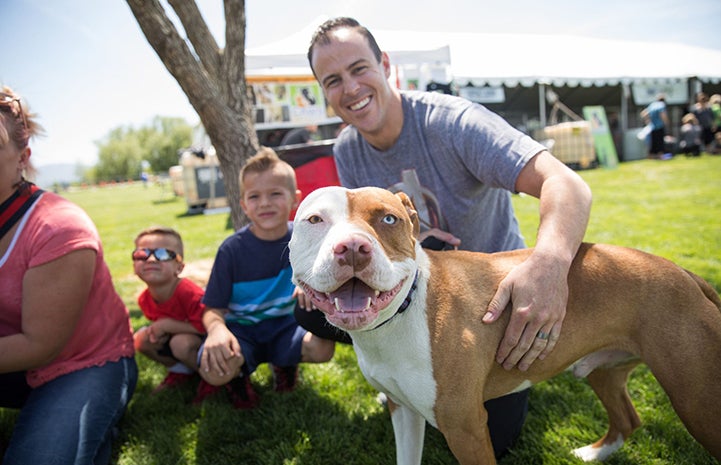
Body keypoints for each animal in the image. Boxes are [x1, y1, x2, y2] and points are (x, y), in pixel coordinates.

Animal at [290, 186, 720, 464]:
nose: (353, 248)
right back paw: (593, 453)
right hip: (605, 370)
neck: (398, 317)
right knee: (628, 418)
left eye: (388, 218)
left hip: (697, 399)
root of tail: (684, 273)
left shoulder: (465, 427)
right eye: (314, 219)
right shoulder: (404, 411)